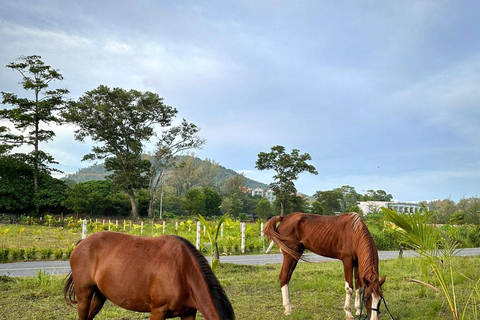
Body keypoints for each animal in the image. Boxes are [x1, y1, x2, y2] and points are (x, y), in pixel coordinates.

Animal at [62, 231, 235, 320]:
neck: (184, 271)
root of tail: (83, 242)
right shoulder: (158, 311)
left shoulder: (189, 313)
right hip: (84, 295)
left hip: (99, 296)